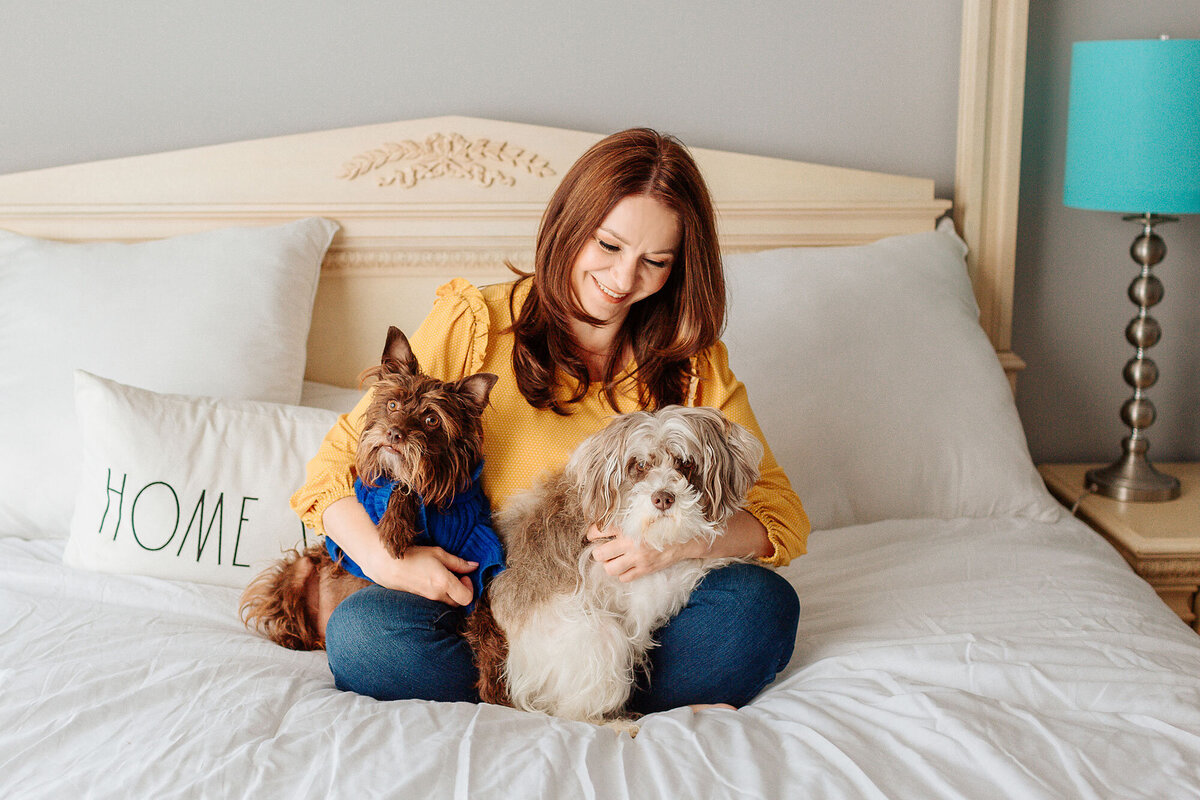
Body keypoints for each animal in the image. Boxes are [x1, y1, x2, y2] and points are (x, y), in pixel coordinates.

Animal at [463, 407, 763, 724]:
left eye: (685, 463)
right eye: (640, 465)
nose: (663, 498)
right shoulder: (647, 592)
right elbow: (694, 562)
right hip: (601, 638)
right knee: (572, 713)